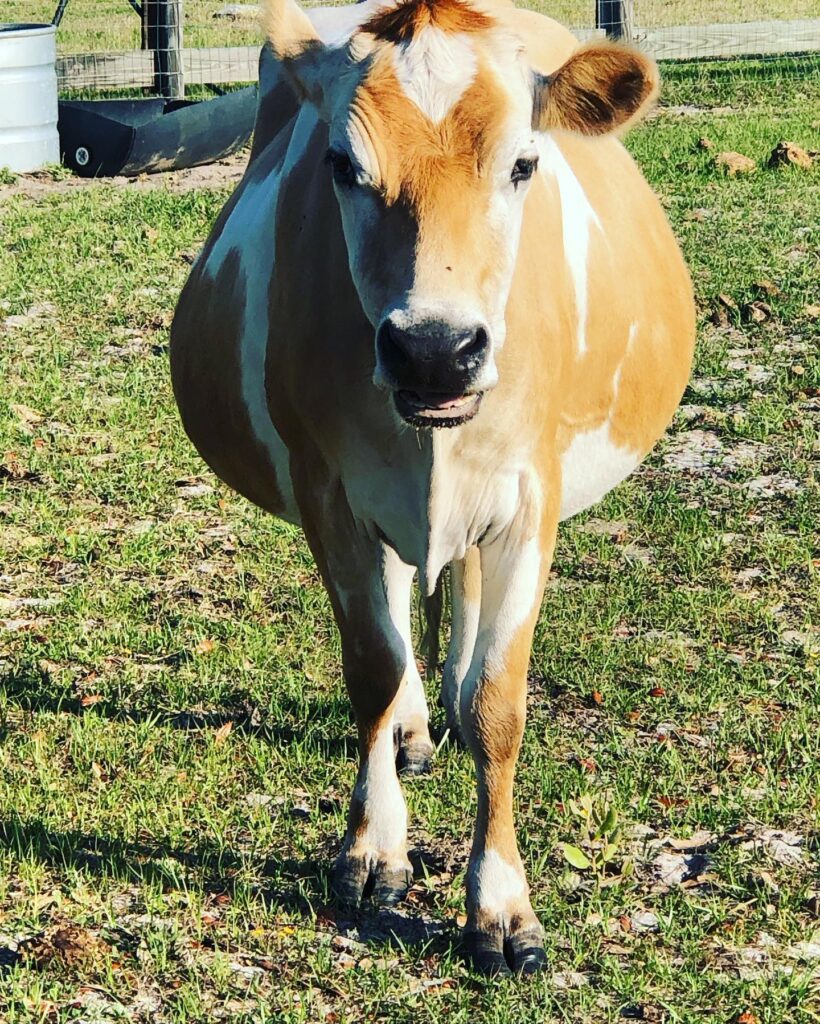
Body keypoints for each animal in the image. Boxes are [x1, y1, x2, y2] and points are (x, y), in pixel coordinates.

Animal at [170, 0, 695, 977]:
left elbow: (498, 702)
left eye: (524, 163)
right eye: (342, 165)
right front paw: (374, 847)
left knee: (462, 590)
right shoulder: (331, 493)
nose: (435, 349)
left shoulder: (530, 497)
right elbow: (373, 669)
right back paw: (417, 724)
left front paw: (501, 904)